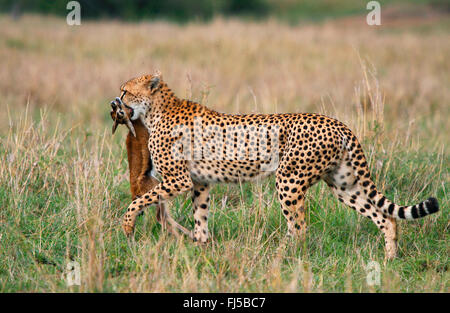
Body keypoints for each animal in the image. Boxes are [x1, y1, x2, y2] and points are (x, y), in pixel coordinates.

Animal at [112, 72, 440, 258]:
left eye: (126, 90)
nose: (116, 102)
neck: (156, 110)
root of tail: (338, 123)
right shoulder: (200, 182)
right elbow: (200, 216)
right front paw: (201, 248)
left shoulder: (178, 180)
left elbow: (137, 201)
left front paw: (127, 227)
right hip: (343, 184)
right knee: (385, 217)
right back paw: (389, 258)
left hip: (289, 181)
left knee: (300, 227)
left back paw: (285, 258)